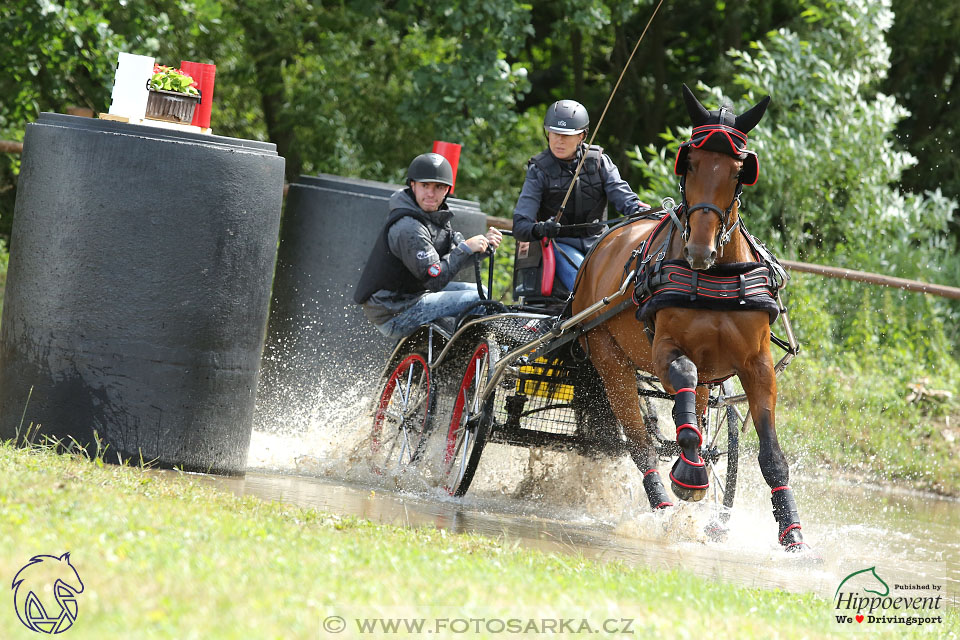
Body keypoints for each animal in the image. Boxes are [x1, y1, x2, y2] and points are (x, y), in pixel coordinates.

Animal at [572, 85, 808, 552]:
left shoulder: (757, 366)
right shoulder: (666, 350)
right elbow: (680, 394)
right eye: (690, 162)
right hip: (610, 362)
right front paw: (690, 475)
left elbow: (771, 455)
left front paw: (793, 535)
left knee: (693, 413)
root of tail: (601, 244)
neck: (713, 277)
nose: (700, 248)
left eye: (739, 171)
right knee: (641, 443)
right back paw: (664, 506)